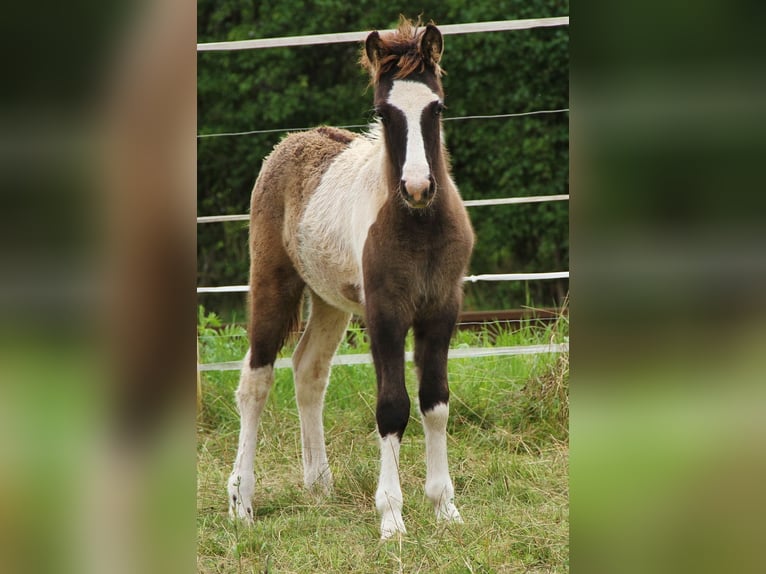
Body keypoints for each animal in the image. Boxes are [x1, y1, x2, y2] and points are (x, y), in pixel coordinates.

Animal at [227, 18, 475, 539]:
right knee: (255, 380)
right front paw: (392, 518)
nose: (418, 187)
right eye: (383, 112)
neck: (418, 224)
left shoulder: (442, 307)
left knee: (309, 370)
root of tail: (290, 142)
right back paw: (241, 500)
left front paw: (445, 506)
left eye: (437, 107)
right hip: (273, 281)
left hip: (330, 301)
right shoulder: (386, 312)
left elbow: (436, 401)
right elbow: (392, 407)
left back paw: (319, 483)